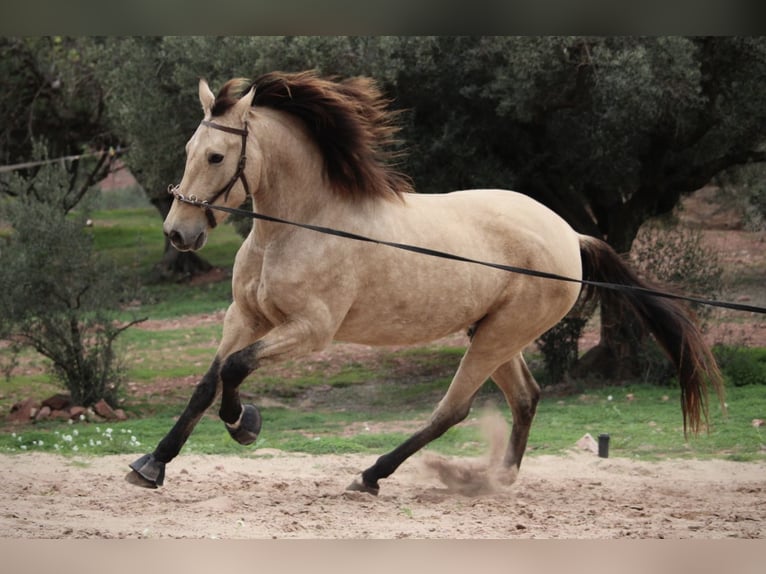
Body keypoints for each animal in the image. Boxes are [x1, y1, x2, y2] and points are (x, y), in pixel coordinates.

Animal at [127, 72, 728, 496]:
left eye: (216, 156)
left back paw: (371, 476)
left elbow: (234, 370)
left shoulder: (311, 331)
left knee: (452, 410)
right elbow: (207, 382)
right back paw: (496, 482)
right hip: (495, 334)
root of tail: (569, 233)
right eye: (188, 151)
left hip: (498, 337)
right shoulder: (245, 317)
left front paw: (244, 423)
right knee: (526, 397)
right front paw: (153, 464)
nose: (178, 233)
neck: (299, 227)